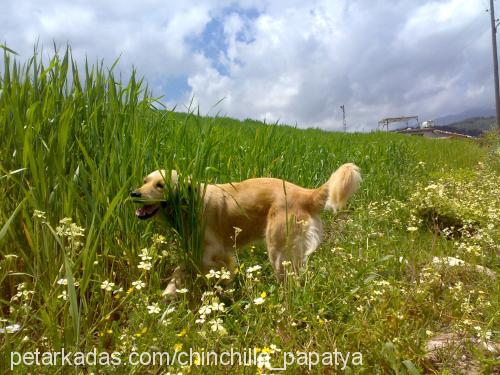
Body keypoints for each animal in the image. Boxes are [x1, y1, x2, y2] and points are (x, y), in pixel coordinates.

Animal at [131, 164, 362, 296]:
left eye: (160, 185)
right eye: (145, 181)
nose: (134, 193)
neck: (188, 204)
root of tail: (306, 192)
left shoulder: (214, 250)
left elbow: (215, 268)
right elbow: (181, 271)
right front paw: (169, 294)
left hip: (278, 252)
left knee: (291, 283)